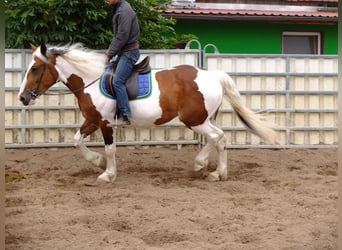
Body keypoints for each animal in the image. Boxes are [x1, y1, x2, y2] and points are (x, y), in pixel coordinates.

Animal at [18, 44, 278, 183]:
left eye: (35, 68)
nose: (22, 97)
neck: (90, 80)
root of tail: (212, 75)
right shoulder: (92, 120)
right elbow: (76, 140)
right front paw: (98, 162)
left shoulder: (105, 124)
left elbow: (110, 149)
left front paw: (107, 174)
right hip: (203, 119)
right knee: (217, 138)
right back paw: (204, 166)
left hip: (194, 120)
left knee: (218, 137)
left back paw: (216, 172)